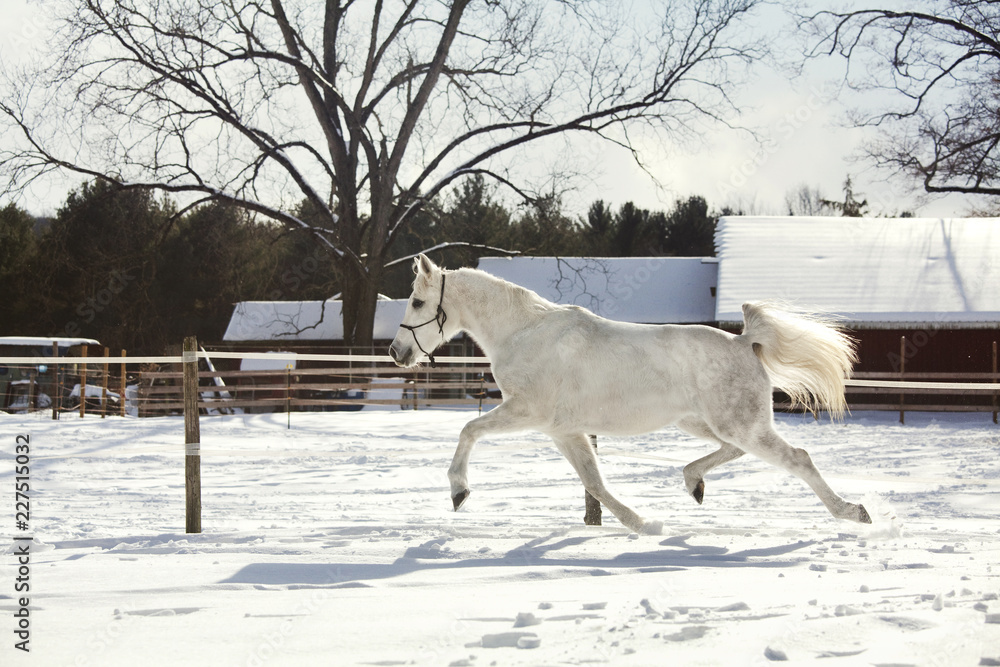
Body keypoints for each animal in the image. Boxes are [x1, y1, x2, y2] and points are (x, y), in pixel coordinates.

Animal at [386, 253, 872, 536]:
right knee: (732, 451)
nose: (396, 352)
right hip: (706, 422)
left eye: (416, 302)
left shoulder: (528, 412)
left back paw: (855, 513)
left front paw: (459, 492)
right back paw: (693, 483)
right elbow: (594, 483)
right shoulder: (563, 430)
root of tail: (743, 341)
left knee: (798, 459)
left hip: (740, 423)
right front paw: (643, 525)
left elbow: (469, 429)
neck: (523, 332)